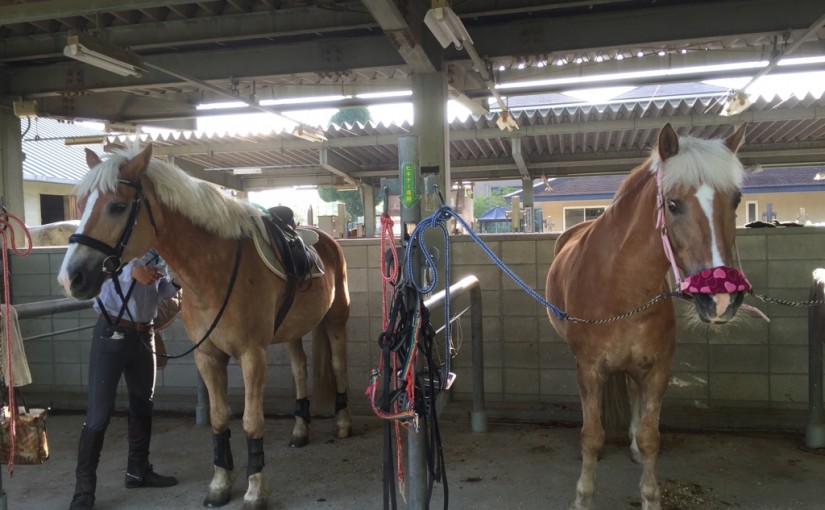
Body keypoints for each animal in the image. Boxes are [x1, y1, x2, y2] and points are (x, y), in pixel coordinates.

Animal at [57, 144, 352, 510]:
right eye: (82, 204)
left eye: (117, 206)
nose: (70, 278)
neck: (215, 272)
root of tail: (325, 237)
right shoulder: (208, 357)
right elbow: (219, 418)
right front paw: (221, 483)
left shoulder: (252, 356)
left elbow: (251, 421)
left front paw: (255, 489)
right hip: (291, 332)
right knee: (299, 370)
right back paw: (300, 430)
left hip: (336, 320)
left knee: (339, 366)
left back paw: (343, 423)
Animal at [546, 123, 749, 510]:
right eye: (673, 204)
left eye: (736, 201)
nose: (721, 298)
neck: (621, 288)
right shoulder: (589, 370)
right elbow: (591, 435)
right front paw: (583, 496)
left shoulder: (657, 370)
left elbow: (651, 435)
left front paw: (650, 495)